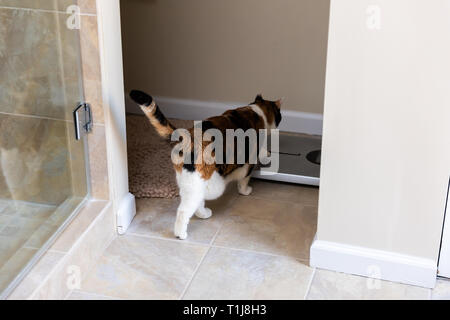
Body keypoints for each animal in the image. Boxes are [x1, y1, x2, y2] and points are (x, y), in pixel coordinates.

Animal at [128, 89, 282, 239]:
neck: (256, 112)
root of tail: (187, 138)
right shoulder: (248, 162)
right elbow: (244, 179)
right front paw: (246, 190)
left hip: (190, 181)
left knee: (197, 202)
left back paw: (204, 214)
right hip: (204, 183)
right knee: (184, 210)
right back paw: (181, 234)